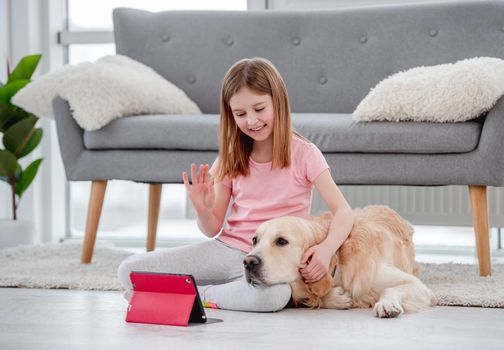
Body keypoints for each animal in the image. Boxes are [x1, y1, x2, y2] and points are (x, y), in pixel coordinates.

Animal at [242, 205, 436, 318]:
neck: (339, 268)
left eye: (281, 241)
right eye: (254, 240)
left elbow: (391, 289)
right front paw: (337, 298)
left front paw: (387, 304)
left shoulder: (417, 285)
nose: (248, 262)